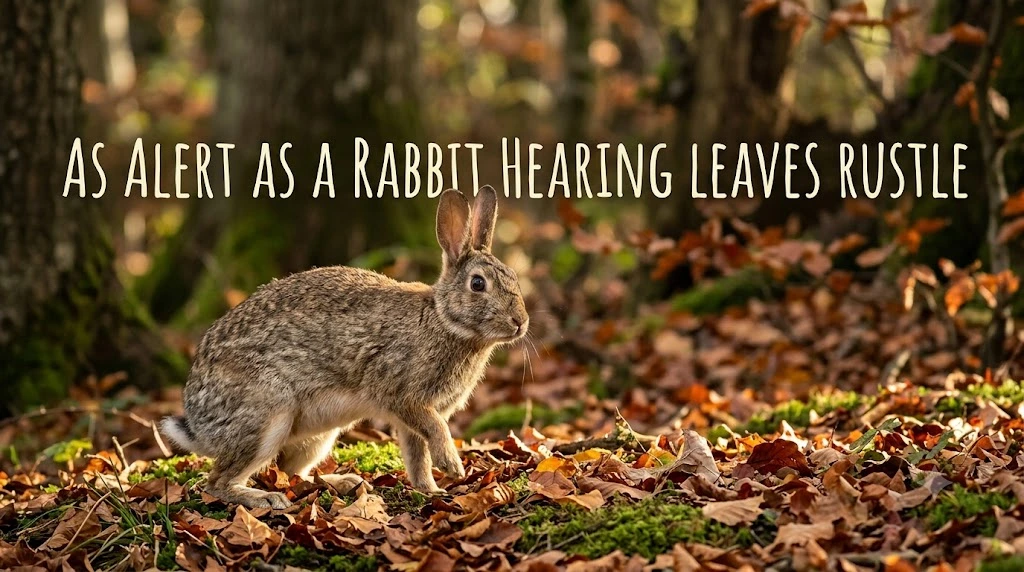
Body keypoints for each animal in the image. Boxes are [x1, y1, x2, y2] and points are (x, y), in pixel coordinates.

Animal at [159, 186, 528, 509]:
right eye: (478, 284)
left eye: (514, 277)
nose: (520, 322)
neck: (443, 320)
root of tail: (199, 422)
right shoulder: (403, 396)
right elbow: (434, 430)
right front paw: (452, 465)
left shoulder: (413, 418)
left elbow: (416, 456)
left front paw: (432, 489)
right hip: (266, 417)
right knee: (218, 482)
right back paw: (265, 499)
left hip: (316, 436)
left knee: (293, 473)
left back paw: (345, 483)